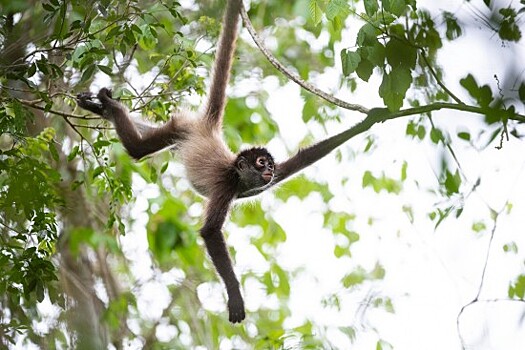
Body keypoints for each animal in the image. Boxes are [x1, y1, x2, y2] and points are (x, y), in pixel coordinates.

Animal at [75, 0, 358, 322]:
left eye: (270, 165)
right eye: (261, 162)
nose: (269, 169)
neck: (236, 174)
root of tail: (208, 129)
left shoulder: (255, 185)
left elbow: (301, 159)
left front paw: (372, 118)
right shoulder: (226, 185)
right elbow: (210, 232)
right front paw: (235, 298)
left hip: (180, 130)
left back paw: (103, 110)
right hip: (183, 126)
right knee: (136, 149)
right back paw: (110, 107)